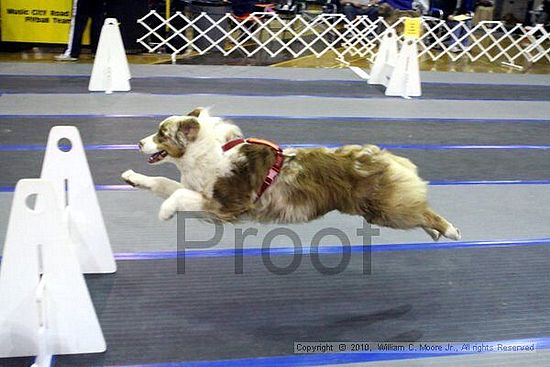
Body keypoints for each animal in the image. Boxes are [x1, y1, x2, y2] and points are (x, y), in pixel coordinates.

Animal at [123, 108, 464, 242]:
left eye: (161, 134)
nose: (138, 142)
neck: (207, 153)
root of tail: (389, 156)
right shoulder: (202, 194)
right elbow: (164, 183)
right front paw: (131, 177)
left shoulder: (227, 204)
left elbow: (178, 194)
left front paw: (165, 212)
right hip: (386, 209)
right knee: (419, 210)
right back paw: (435, 233)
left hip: (387, 209)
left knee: (425, 212)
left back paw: (450, 231)